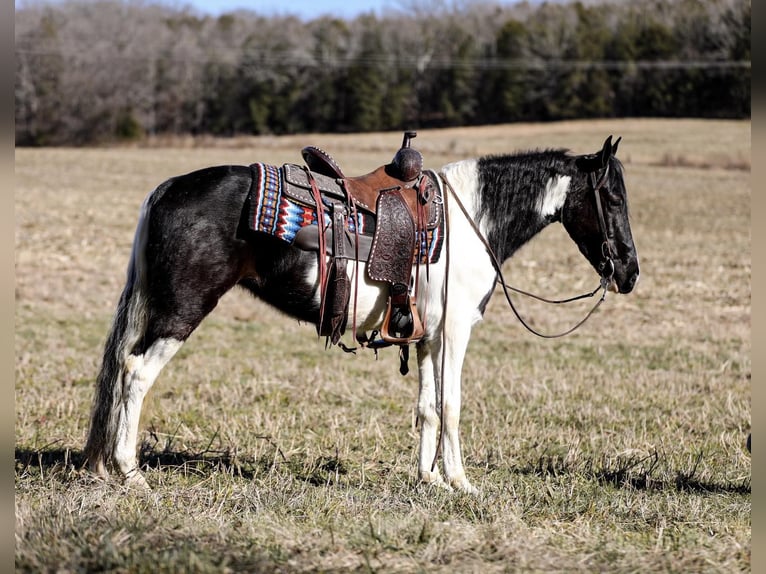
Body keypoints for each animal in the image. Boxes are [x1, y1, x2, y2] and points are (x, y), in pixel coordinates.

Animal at [84, 136, 640, 496]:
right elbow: (453, 405)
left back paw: (109, 468)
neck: (472, 219)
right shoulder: (455, 333)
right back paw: (130, 473)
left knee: (123, 370)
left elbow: (428, 407)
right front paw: (462, 483)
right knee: (136, 372)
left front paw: (430, 480)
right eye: (612, 197)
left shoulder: (427, 337)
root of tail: (168, 188)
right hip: (182, 310)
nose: (629, 273)